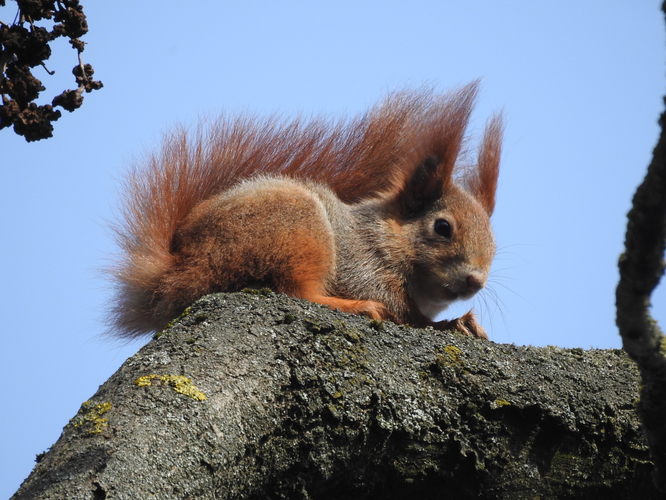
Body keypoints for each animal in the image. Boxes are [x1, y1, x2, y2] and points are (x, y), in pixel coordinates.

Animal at [111, 83, 500, 340]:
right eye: (442, 227)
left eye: (494, 245)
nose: (475, 281)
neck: (386, 235)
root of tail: (181, 263)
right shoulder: (363, 263)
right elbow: (406, 313)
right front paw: (451, 324)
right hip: (295, 227)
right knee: (297, 291)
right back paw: (354, 307)